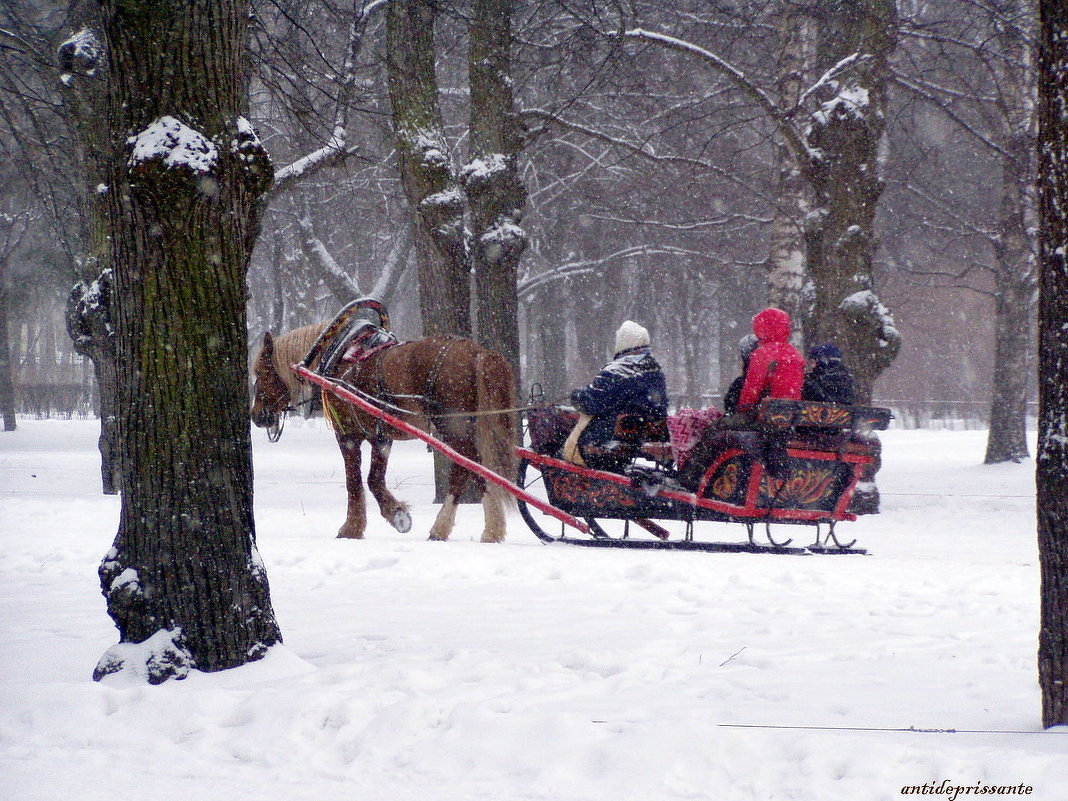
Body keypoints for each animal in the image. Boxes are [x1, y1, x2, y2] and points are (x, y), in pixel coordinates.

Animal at [249, 326, 516, 546]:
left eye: (261, 372)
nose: (256, 415)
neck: (338, 361)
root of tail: (478, 352)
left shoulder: (347, 434)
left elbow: (355, 482)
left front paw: (358, 526)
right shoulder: (380, 437)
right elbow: (374, 479)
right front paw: (395, 513)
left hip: (452, 427)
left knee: (470, 467)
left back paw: (468, 529)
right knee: (471, 468)